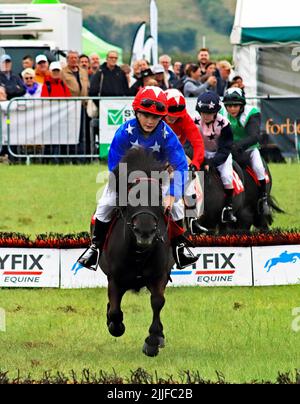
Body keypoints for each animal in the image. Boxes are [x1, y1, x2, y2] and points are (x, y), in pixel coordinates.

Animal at [99, 148, 173, 356]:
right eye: (132, 195)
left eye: (158, 197)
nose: (145, 231)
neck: (138, 253)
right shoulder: (115, 279)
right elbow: (115, 311)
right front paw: (116, 325)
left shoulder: (159, 276)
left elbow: (157, 301)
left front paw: (153, 340)